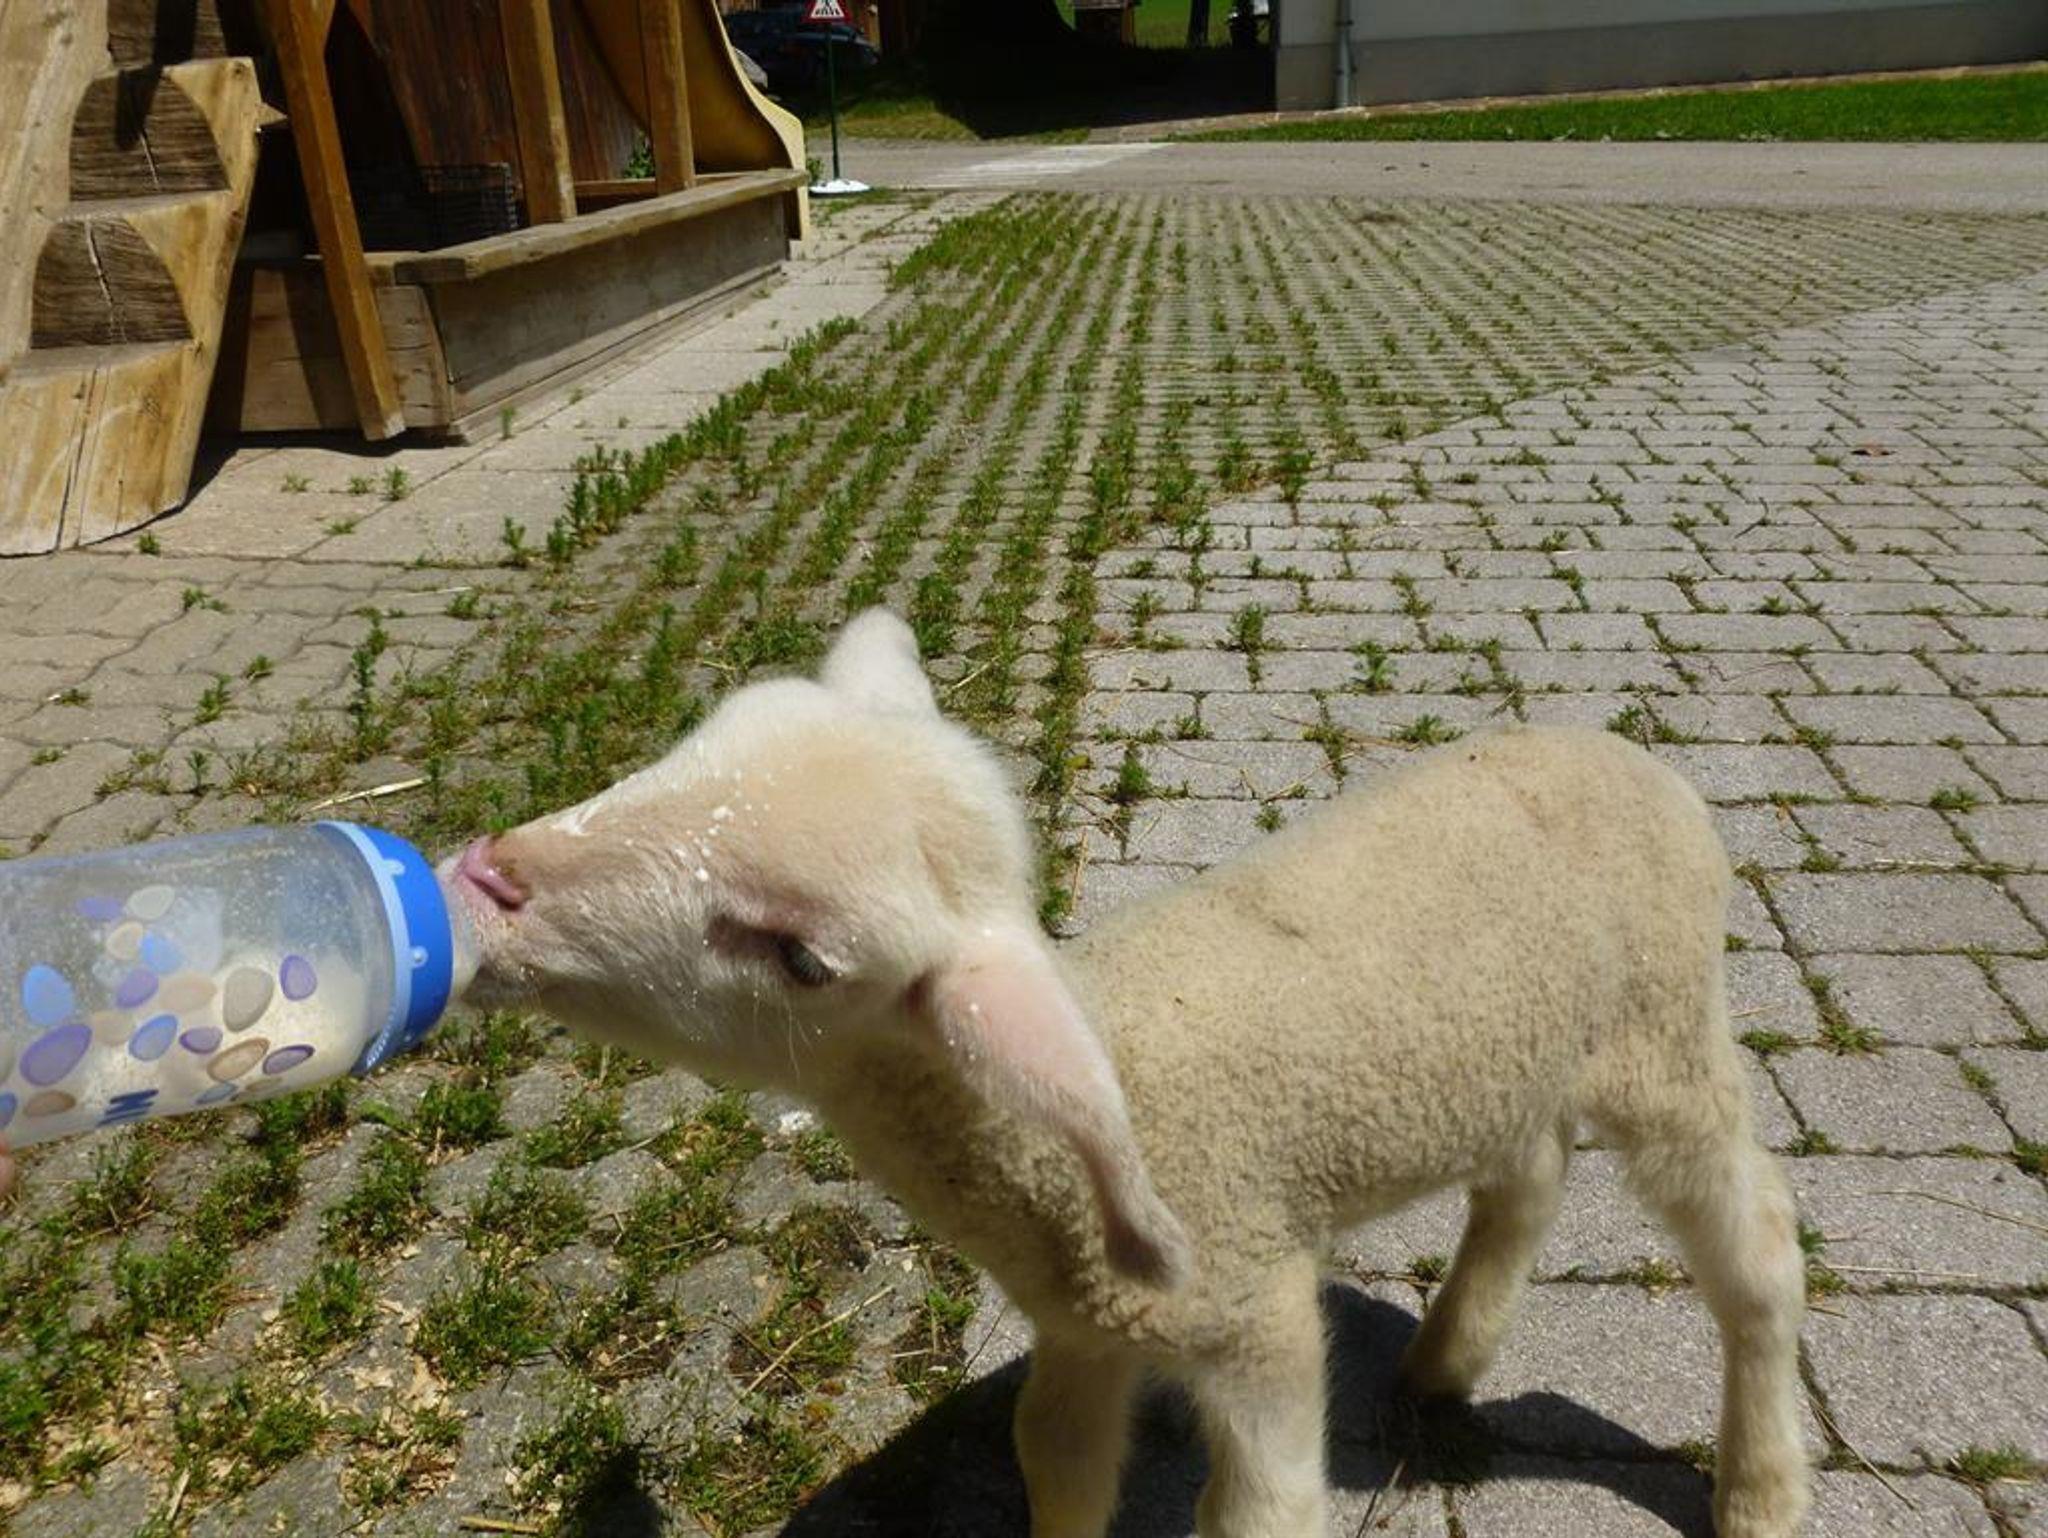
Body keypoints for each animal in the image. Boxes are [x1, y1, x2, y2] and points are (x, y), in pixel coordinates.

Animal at [445, 608, 1810, 1538]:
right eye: (700, 736)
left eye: (799, 956)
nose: (481, 880)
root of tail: (1632, 756)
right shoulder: (1083, 1319)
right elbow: (1052, 1453)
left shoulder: (1252, 1311)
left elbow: (1253, 1509)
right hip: (1517, 1046)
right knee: (1523, 1175)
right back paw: (1442, 1359)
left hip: (1663, 1035)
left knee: (1756, 1245)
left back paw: (1759, 1487)